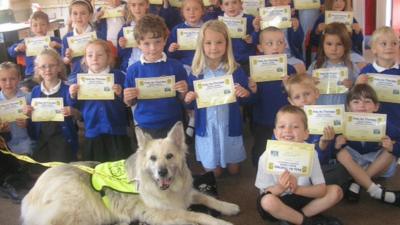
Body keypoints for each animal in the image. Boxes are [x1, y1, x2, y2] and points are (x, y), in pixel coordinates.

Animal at [20, 123, 239, 225]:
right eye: (152, 158)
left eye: (169, 156)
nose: (162, 172)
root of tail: (33, 191)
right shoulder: (165, 211)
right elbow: (198, 215)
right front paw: (220, 221)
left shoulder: (186, 194)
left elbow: (207, 198)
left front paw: (228, 207)